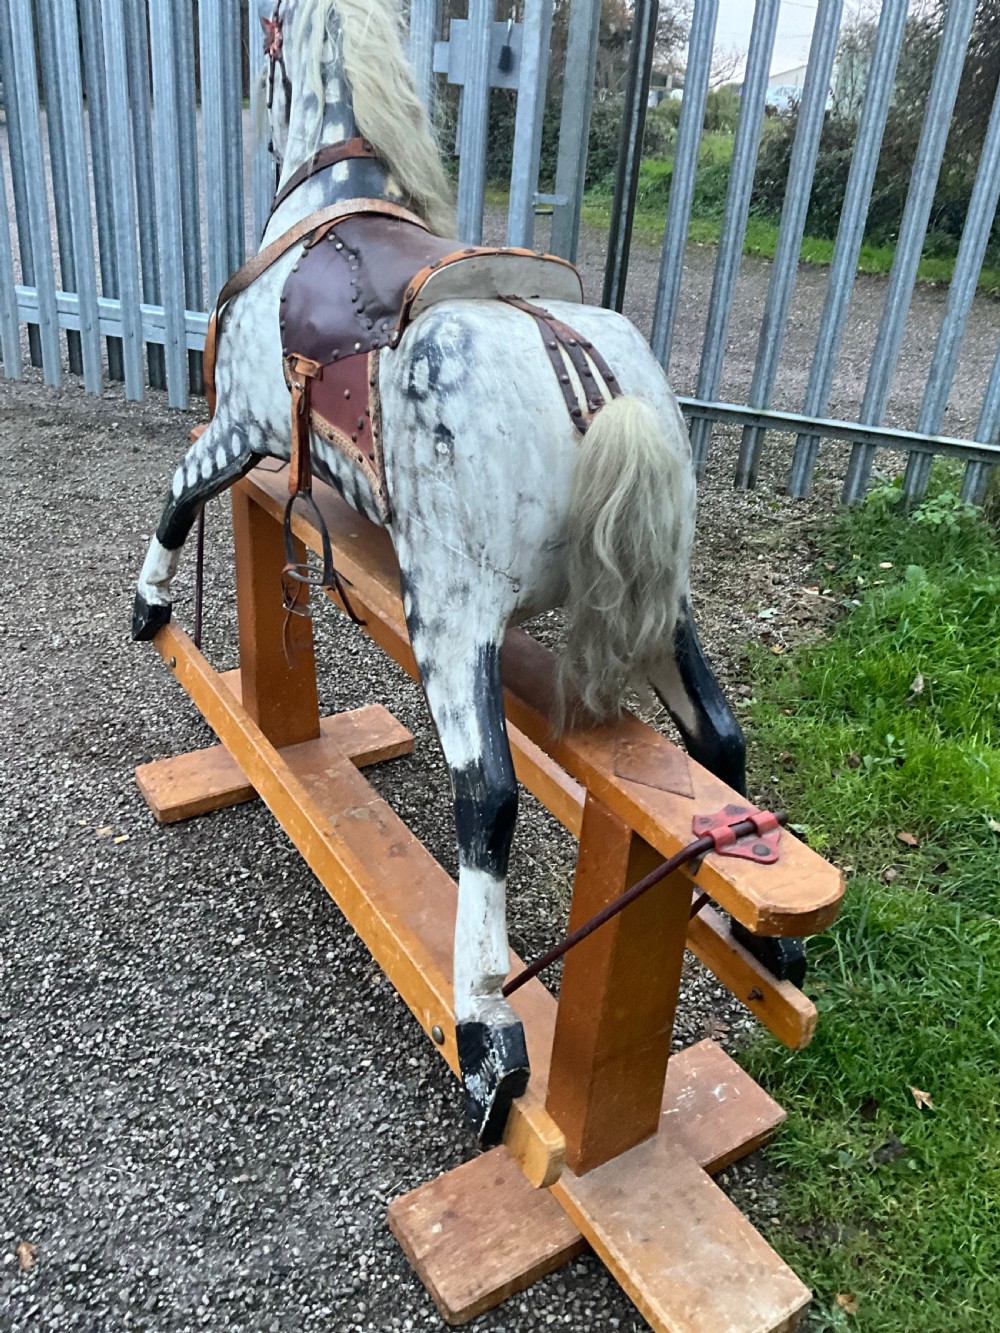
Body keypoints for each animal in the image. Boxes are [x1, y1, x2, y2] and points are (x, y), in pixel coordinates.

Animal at [133, 0, 751, 1147]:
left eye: (266, 44)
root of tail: (582, 374)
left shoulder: (240, 431)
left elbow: (178, 488)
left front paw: (148, 607)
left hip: (453, 618)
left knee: (488, 796)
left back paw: (486, 1038)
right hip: (664, 608)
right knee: (720, 740)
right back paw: (766, 944)